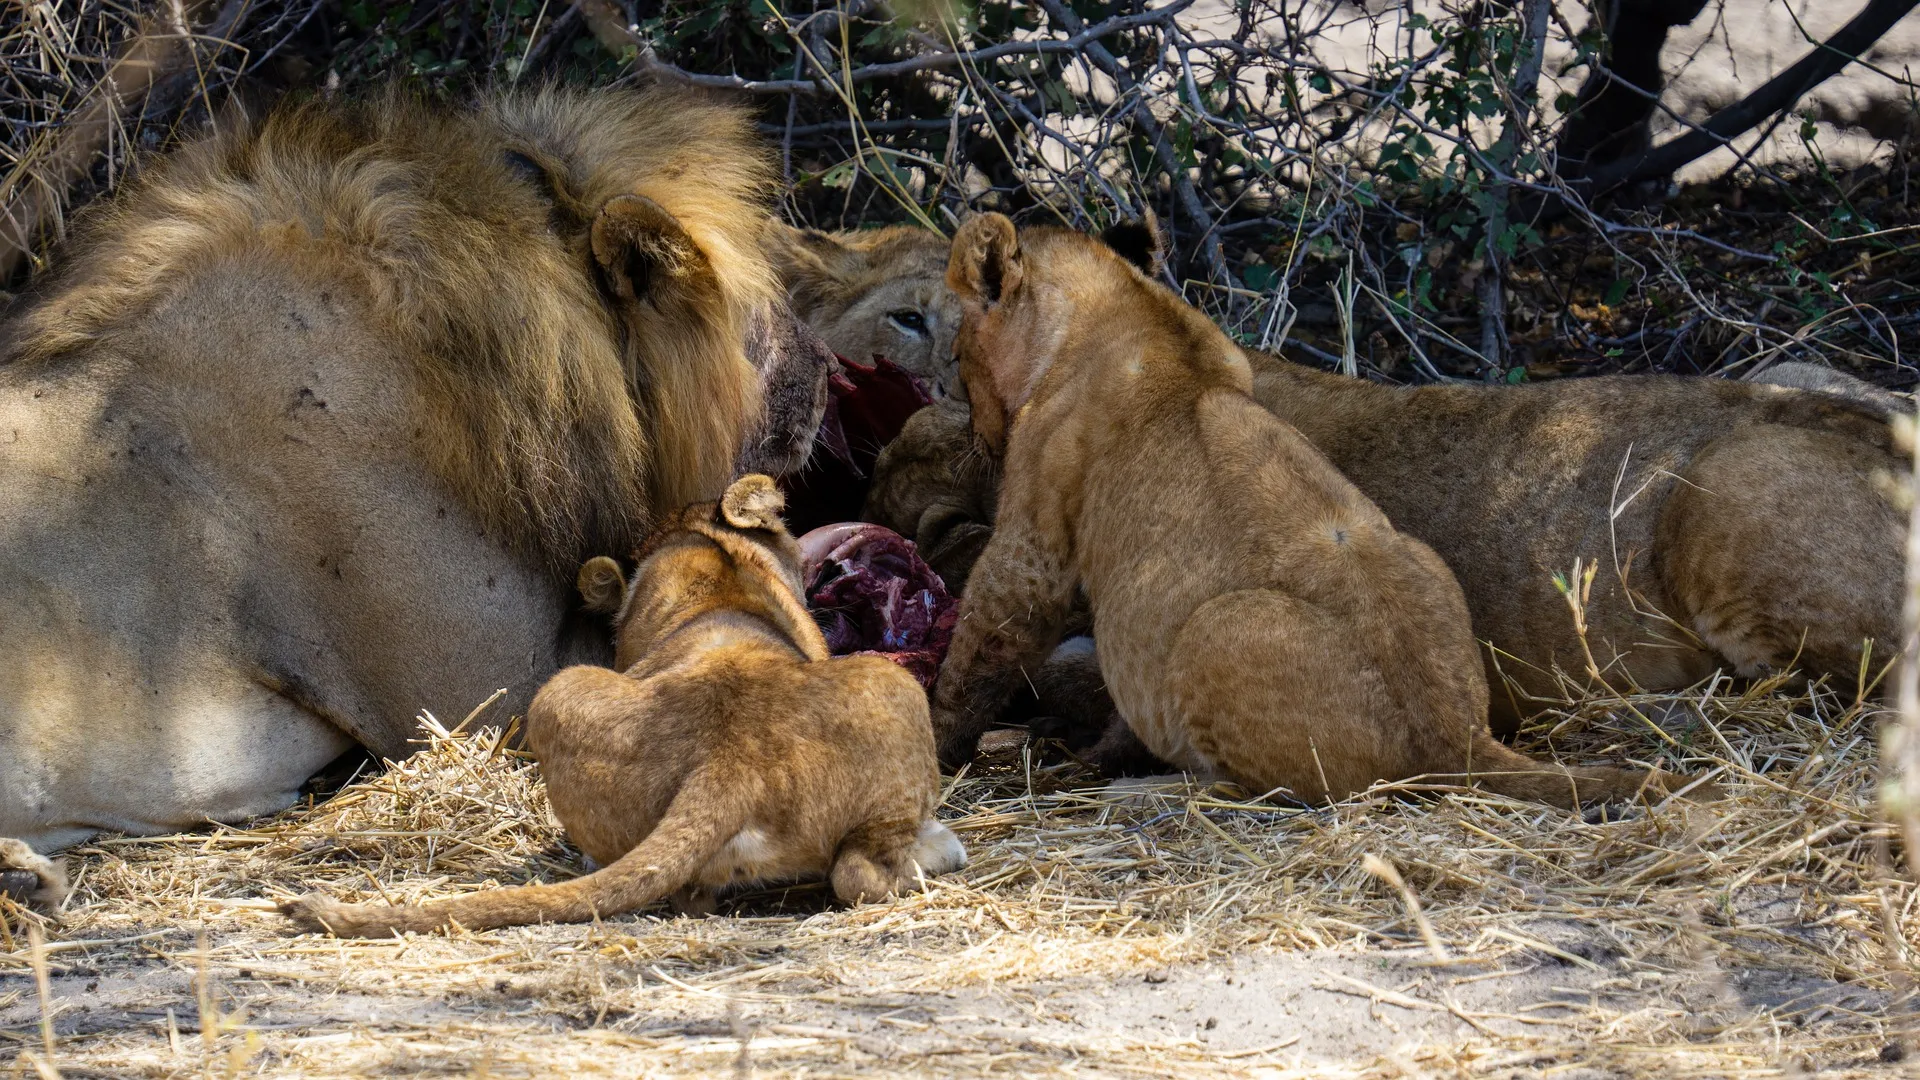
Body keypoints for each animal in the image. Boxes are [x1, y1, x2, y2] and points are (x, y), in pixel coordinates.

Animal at [282, 472, 960, 933]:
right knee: (858, 874)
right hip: (894, 685)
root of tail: (730, 760)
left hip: (560, 693)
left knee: (680, 890)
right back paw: (939, 851)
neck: (713, 577)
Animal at [921, 214, 1674, 803]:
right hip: (1422, 556)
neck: (1125, 306)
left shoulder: (1035, 543)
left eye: (954, 354)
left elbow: (984, 642)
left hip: (1217, 625)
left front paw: (938, 738)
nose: (975, 437)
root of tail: (1456, 735)